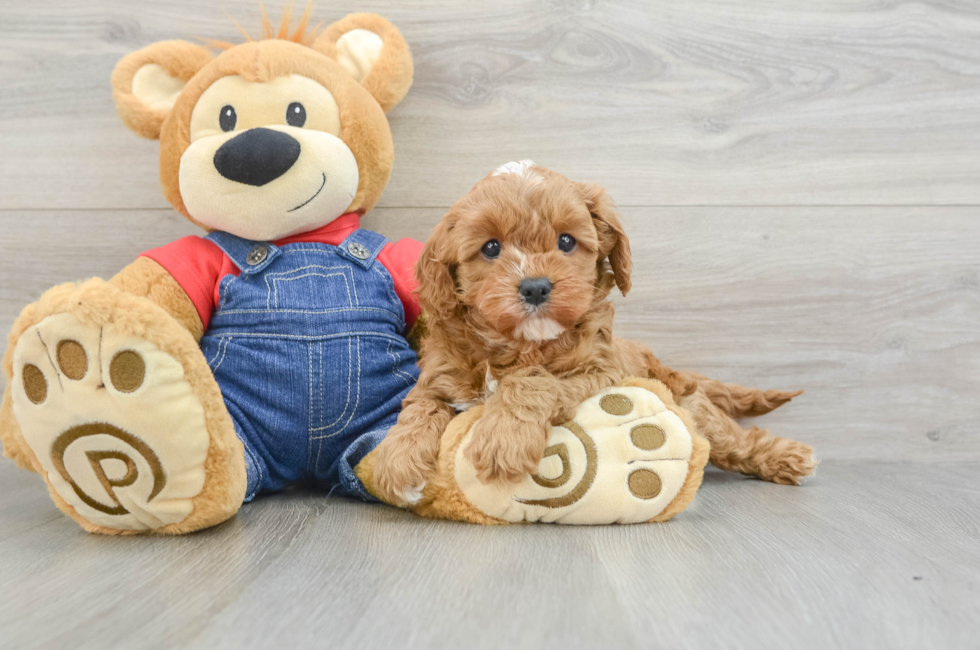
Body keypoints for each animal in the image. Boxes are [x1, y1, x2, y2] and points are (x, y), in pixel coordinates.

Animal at [372, 159, 816, 504]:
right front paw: (397, 461)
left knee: (737, 439)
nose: (535, 287)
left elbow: (533, 381)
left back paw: (789, 458)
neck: (521, 344)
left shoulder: (599, 371)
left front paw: (504, 438)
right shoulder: (439, 377)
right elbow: (420, 408)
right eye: (491, 248)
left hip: (694, 408)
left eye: (567, 241)